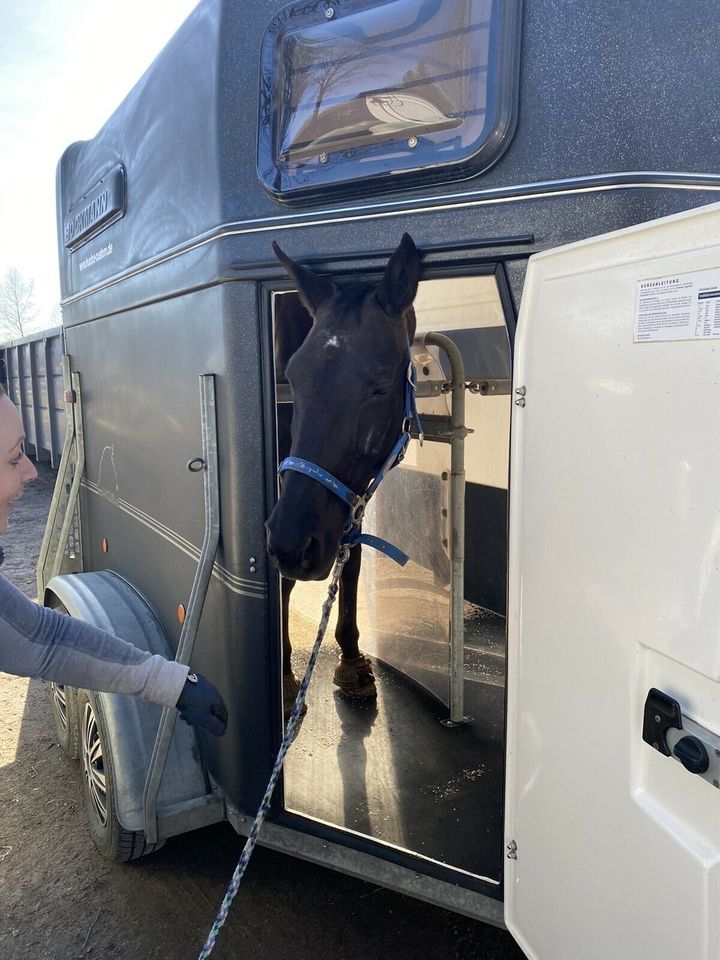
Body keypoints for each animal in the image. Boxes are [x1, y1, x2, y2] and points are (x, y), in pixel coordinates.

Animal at [266, 234, 422, 712]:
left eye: (381, 386)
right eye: (292, 378)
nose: (293, 546)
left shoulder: (352, 492)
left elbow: (350, 559)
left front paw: (351, 659)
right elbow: (283, 581)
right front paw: (282, 674)